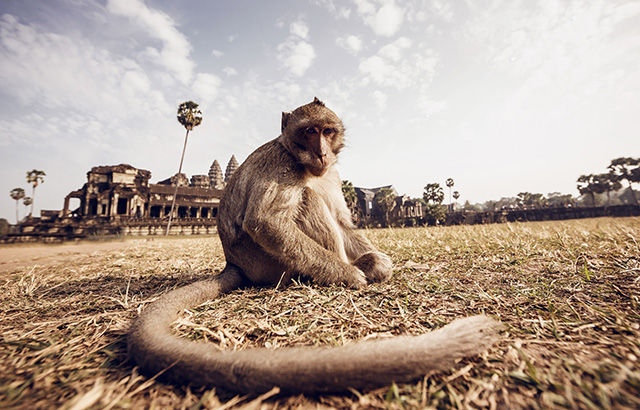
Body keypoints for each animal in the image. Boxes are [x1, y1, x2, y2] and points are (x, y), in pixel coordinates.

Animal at [129, 97, 500, 396]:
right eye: (308, 132)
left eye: (327, 131)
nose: (321, 151)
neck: (302, 160)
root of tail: (233, 263)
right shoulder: (281, 163)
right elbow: (265, 221)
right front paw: (351, 276)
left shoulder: (332, 173)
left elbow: (344, 220)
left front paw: (378, 264)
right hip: (268, 264)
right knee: (307, 199)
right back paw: (339, 272)